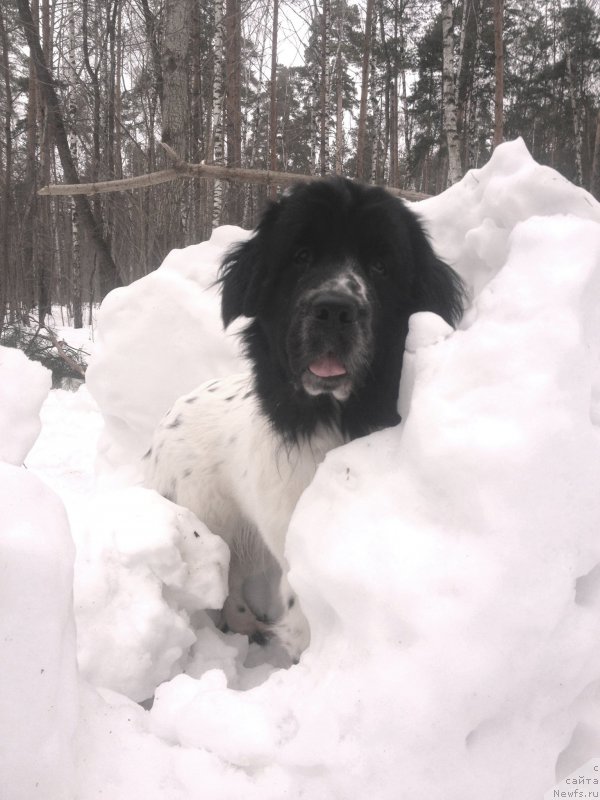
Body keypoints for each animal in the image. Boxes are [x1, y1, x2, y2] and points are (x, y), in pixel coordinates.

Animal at [145, 177, 464, 664]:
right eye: (300, 256)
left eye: (380, 264)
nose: (334, 309)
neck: (332, 419)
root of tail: (172, 411)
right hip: (211, 521)